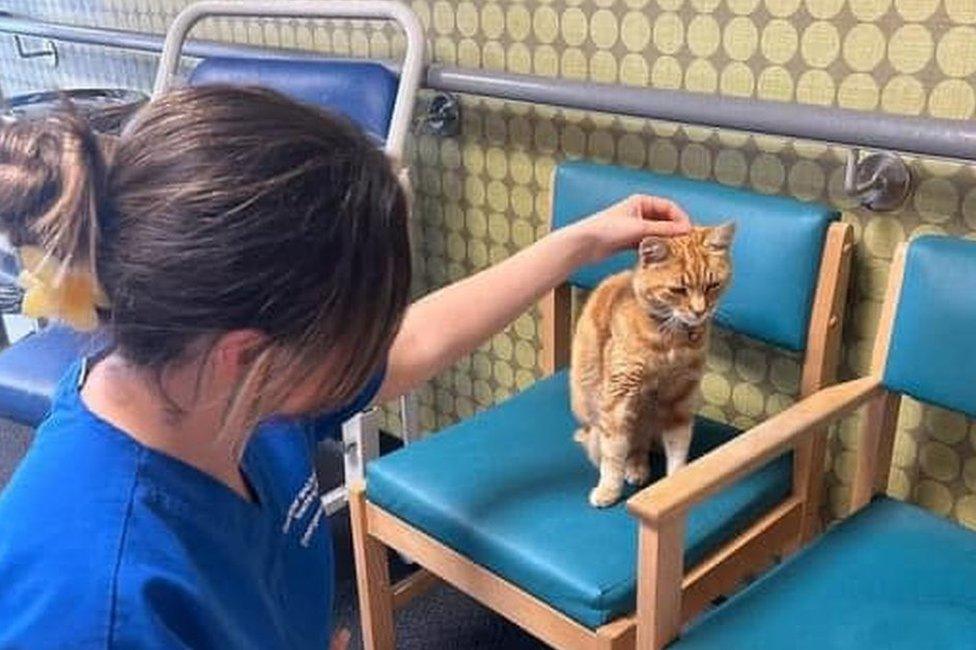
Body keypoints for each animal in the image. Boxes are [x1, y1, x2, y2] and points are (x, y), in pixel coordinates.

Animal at [572, 224, 732, 506]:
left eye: (713, 285)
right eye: (679, 290)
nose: (700, 311)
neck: (671, 340)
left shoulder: (681, 397)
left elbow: (678, 444)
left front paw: (677, 482)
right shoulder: (618, 398)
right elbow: (614, 453)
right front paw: (608, 490)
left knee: (641, 446)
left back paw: (638, 468)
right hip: (602, 425)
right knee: (620, 448)